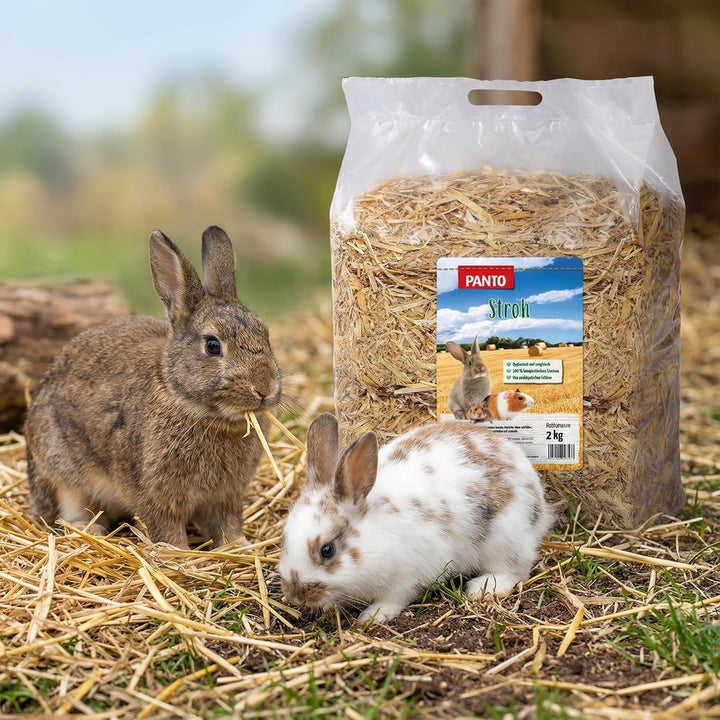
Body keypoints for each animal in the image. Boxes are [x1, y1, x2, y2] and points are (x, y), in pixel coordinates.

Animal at [24, 226, 282, 550]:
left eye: (266, 335)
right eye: (212, 345)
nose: (264, 388)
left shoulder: (225, 497)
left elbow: (227, 525)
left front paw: (239, 546)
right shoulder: (155, 492)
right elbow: (165, 526)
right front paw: (178, 553)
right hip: (62, 469)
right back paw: (90, 530)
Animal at [278, 413, 555, 624]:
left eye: (327, 550)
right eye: (284, 540)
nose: (295, 594)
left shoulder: (409, 575)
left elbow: (395, 598)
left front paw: (373, 616)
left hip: (505, 538)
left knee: (517, 570)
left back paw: (482, 588)